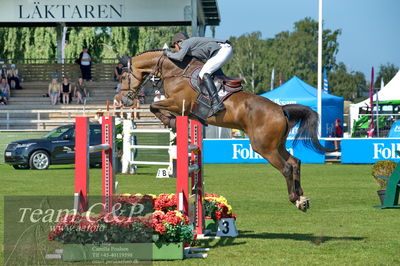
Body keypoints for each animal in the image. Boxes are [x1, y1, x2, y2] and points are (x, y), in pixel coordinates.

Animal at [119, 49, 332, 212]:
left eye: (123, 77)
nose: (123, 100)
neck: (176, 72)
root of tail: (280, 109)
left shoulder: (178, 103)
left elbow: (154, 106)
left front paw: (170, 122)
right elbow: (155, 107)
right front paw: (173, 122)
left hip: (264, 147)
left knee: (286, 167)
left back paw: (294, 199)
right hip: (276, 145)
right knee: (295, 162)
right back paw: (302, 198)